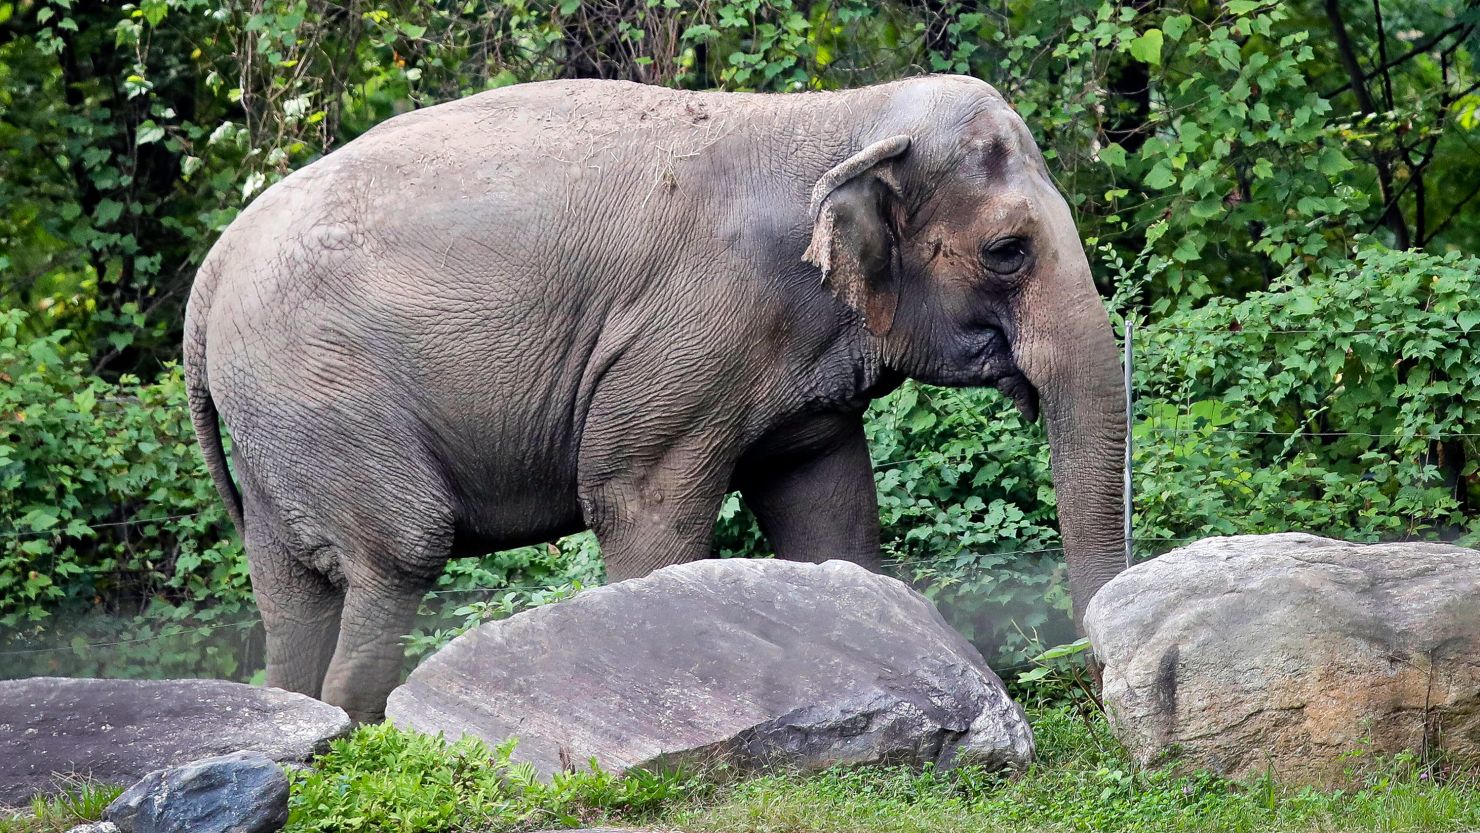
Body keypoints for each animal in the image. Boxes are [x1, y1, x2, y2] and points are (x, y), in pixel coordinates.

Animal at [190, 73, 1124, 724]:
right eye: (1008, 251)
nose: (1093, 682)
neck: (841, 117)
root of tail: (211, 272)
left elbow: (830, 513)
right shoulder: (691, 334)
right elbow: (642, 504)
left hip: (278, 421)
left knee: (289, 591)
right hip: (324, 389)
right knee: (399, 552)